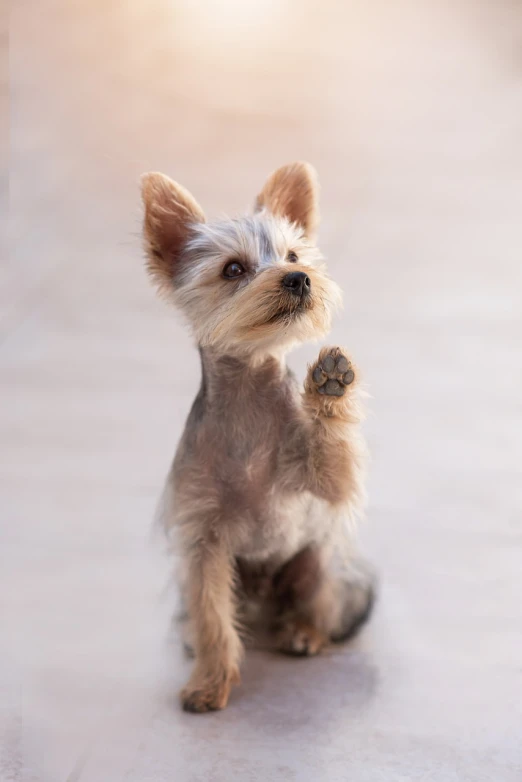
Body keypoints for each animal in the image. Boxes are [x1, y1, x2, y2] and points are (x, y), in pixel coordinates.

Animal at [140, 162, 372, 712]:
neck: (250, 398)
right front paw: (209, 683)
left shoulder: (329, 486)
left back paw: (303, 633)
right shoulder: (203, 542)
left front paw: (329, 385)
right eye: (232, 270)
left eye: (293, 255)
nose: (298, 277)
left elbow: (334, 458)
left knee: (319, 607)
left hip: (319, 562)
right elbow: (211, 617)